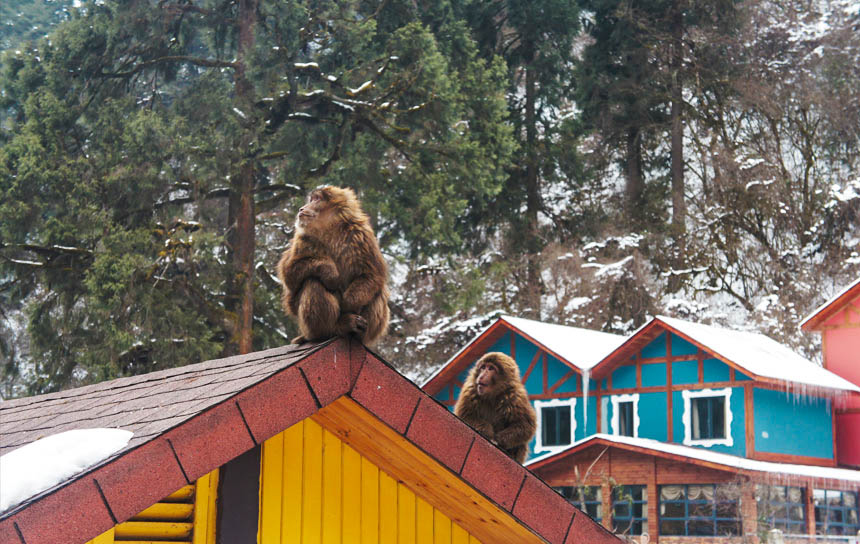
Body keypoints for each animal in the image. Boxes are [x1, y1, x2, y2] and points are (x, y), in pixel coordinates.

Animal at [276, 185, 390, 346]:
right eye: (311, 199)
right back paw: (332, 329)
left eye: (316, 199)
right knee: (312, 281)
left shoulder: (361, 235)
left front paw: (348, 305)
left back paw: (356, 331)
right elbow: (289, 276)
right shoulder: (303, 239)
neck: (331, 229)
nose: (302, 208)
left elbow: (372, 275)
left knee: (377, 290)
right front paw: (330, 272)